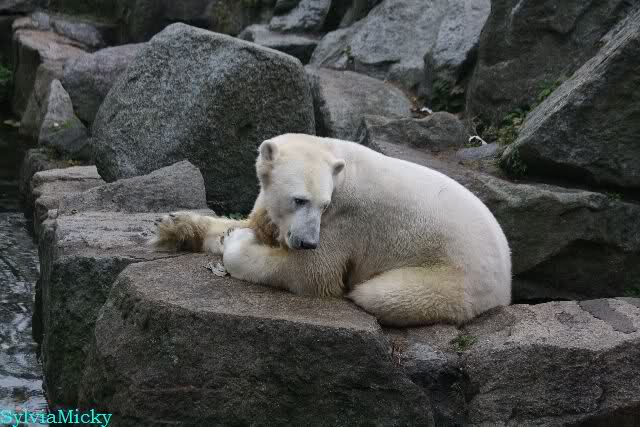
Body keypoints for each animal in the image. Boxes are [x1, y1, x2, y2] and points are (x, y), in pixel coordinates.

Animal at [155, 133, 512, 326]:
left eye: (324, 205)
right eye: (299, 199)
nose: (307, 242)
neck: (336, 158)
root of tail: (505, 286)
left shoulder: (345, 223)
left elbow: (312, 274)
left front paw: (237, 241)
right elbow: (256, 221)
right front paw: (172, 225)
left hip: (450, 278)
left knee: (379, 294)